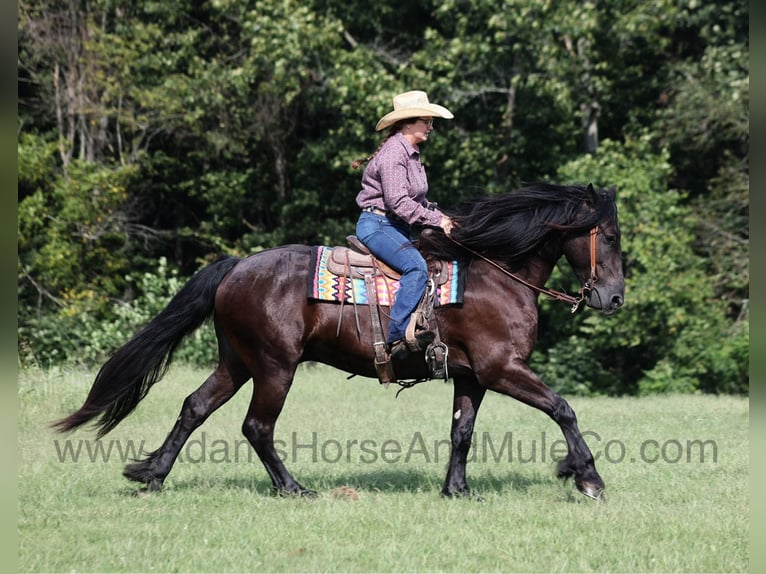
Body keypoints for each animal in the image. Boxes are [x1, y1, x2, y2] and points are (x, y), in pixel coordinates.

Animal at [53, 182, 624, 500]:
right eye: (612, 237)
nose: (614, 298)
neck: (496, 274)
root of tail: (237, 267)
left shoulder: (472, 377)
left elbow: (461, 432)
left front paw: (457, 490)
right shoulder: (502, 368)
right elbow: (563, 408)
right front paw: (587, 477)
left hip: (236, 363)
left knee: (194, 407)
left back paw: (152, 476)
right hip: (274, 367)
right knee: (257, 427)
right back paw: (293, 488)